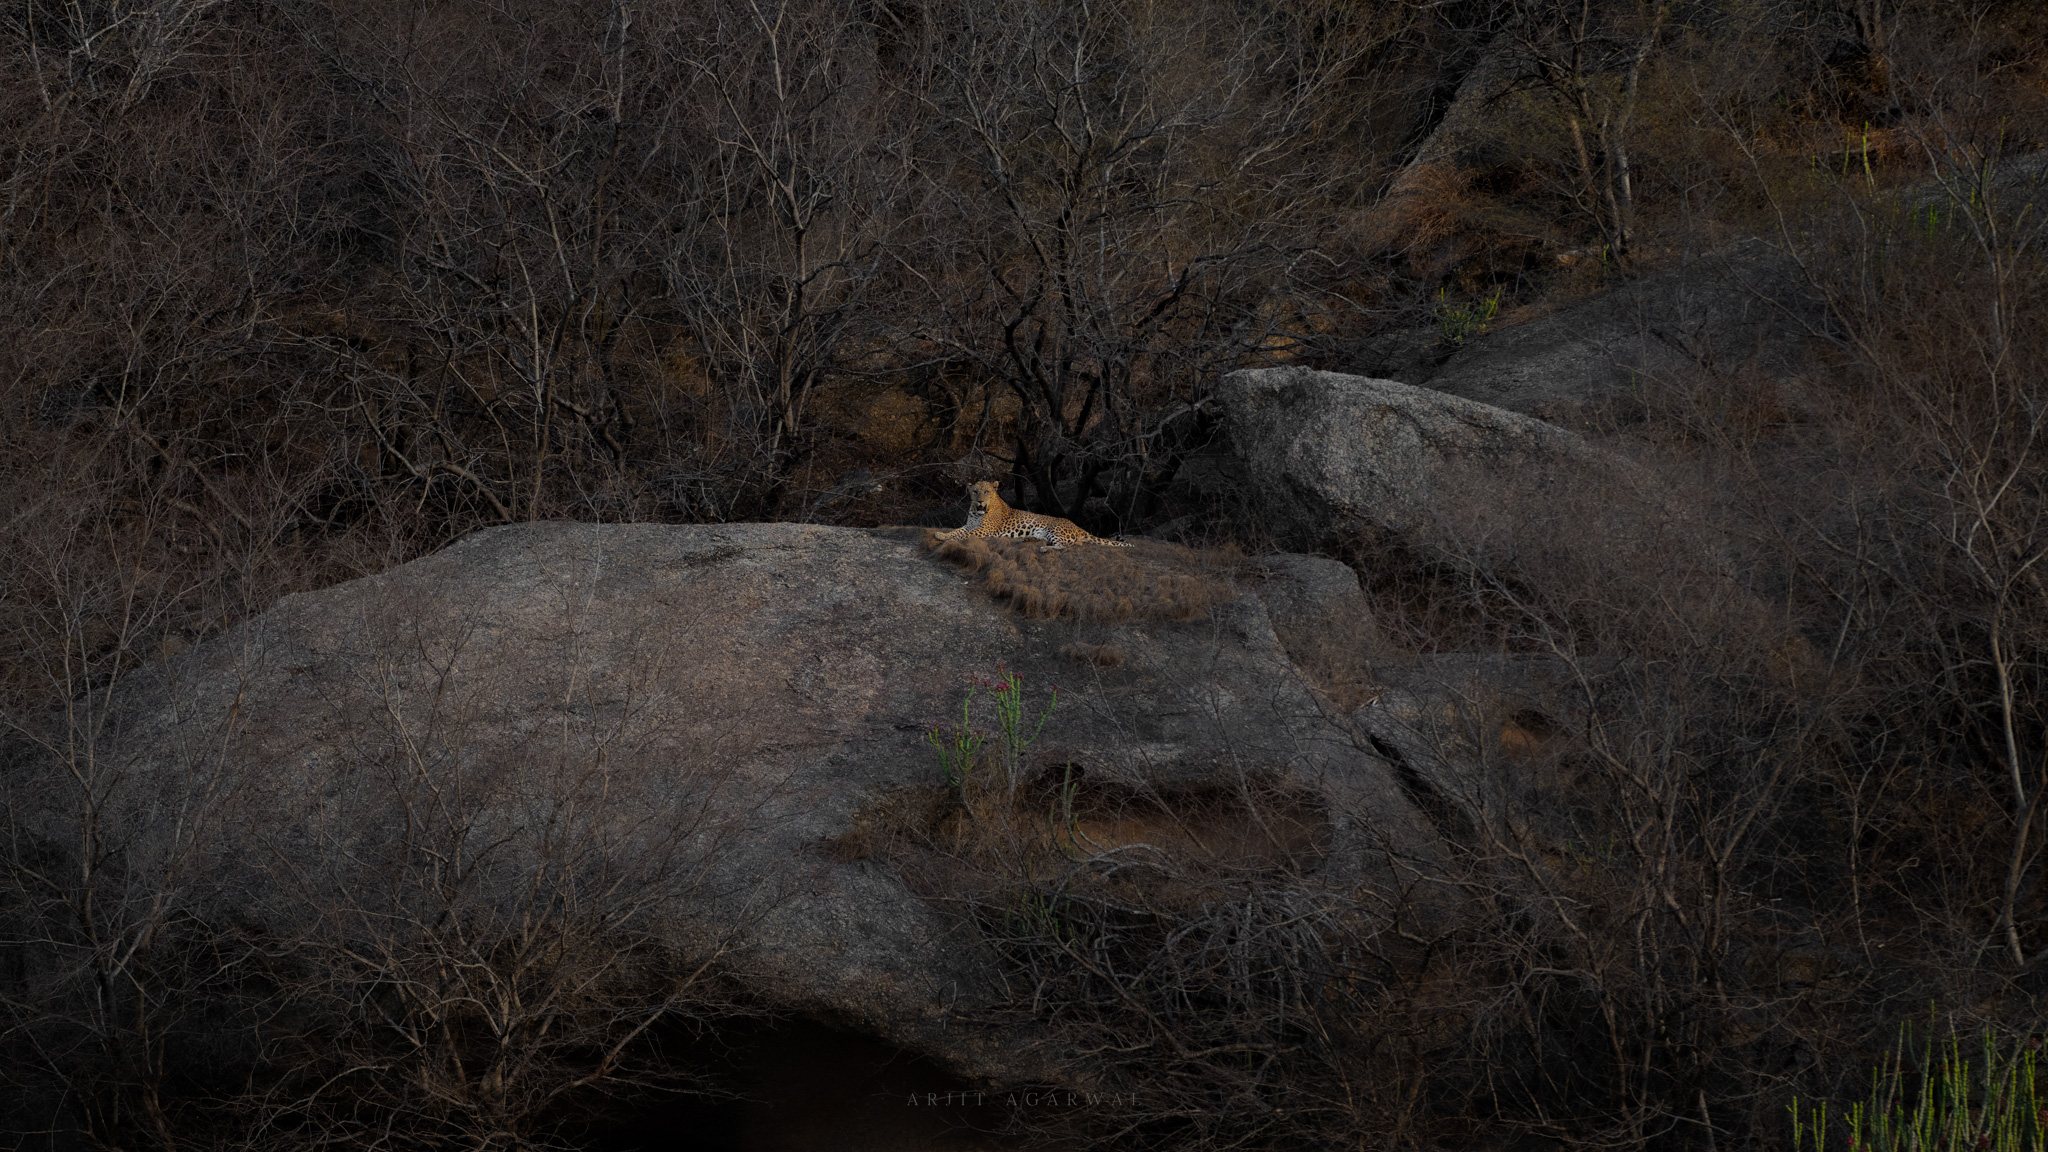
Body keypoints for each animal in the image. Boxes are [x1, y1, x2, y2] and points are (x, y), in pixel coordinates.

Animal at [936, 480, 1132, 550]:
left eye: (987, 492)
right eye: (975, 492)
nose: (980, 502)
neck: (977, 512)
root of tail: (1076, 526)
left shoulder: (984, 530)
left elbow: (963, 535)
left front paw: (948, 539)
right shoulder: (969, 525)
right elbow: (956, 531)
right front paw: (941, 534)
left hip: (1055, 530)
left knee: (1065, 546)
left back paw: (1045, 549)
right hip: (1042, 532)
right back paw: (1028, 539)